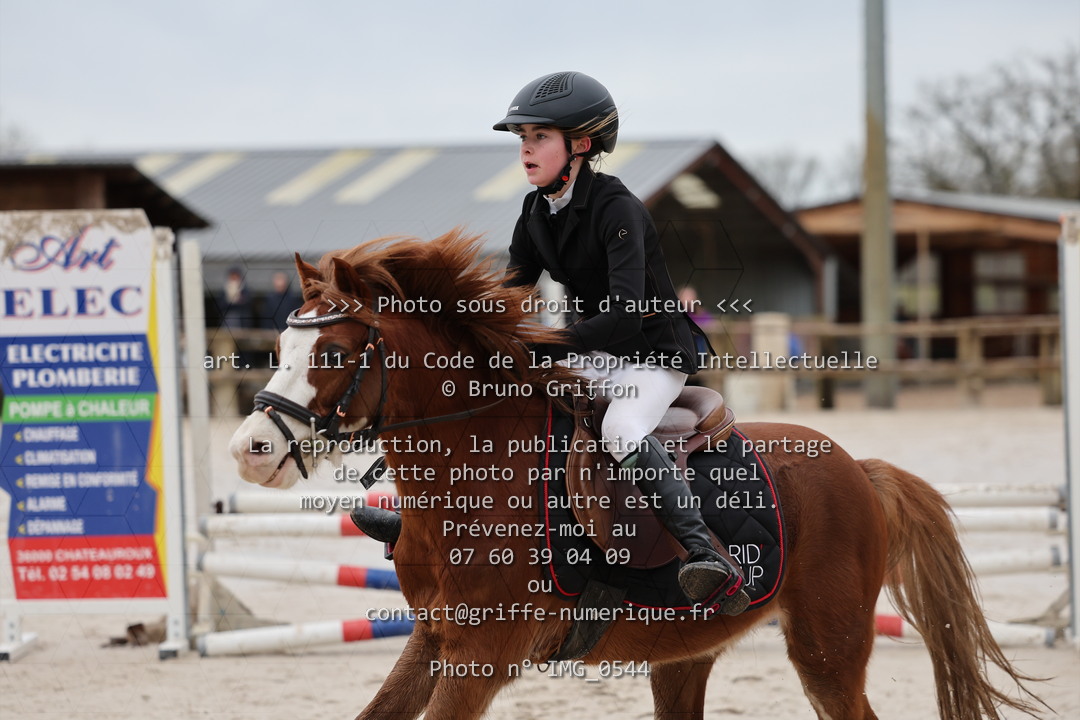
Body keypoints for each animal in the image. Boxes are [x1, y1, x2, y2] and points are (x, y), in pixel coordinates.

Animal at [228, 230, 1046, 720]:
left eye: (333, 355)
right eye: (279, 346)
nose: (249, 449)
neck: (473, 469)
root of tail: (858, 466)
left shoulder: (481, 658)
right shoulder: (432, 641)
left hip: (828, 649)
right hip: (684, 654)